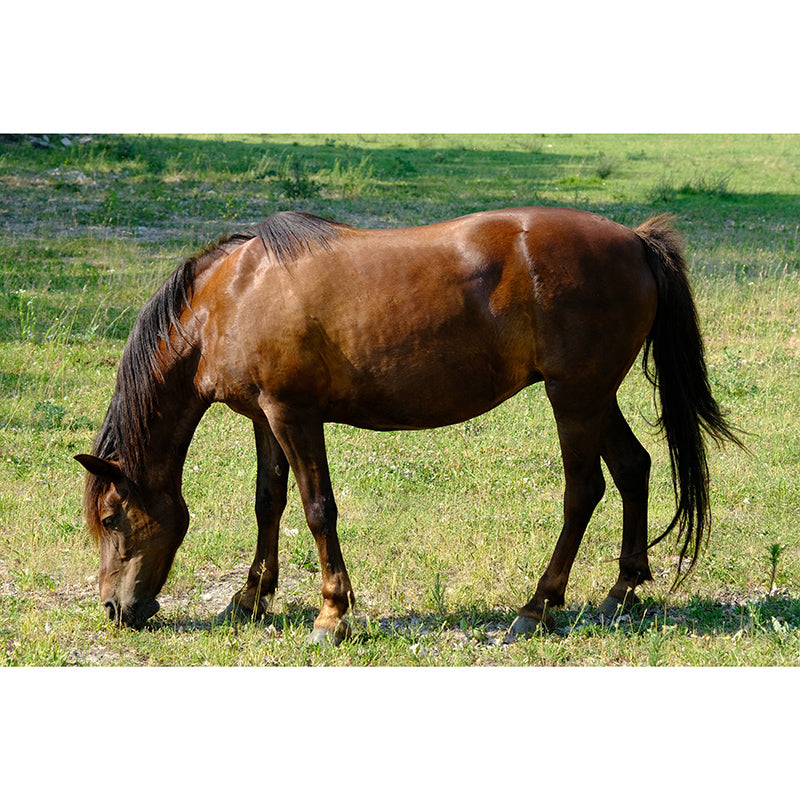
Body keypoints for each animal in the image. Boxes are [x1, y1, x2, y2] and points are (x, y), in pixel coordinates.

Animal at [75, 206, 742, 644]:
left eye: (111, 518)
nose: (113, 608)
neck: (231, 296)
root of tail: (635, 239)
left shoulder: (294, 414)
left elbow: (318, 509)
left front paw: (331, 616)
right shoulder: (266, 417)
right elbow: (270, 502)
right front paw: (250, 598)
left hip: (574, 398)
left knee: (584, 491)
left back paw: (536, 607)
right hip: (593, 396)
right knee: (633, 468)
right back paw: (620, 594)